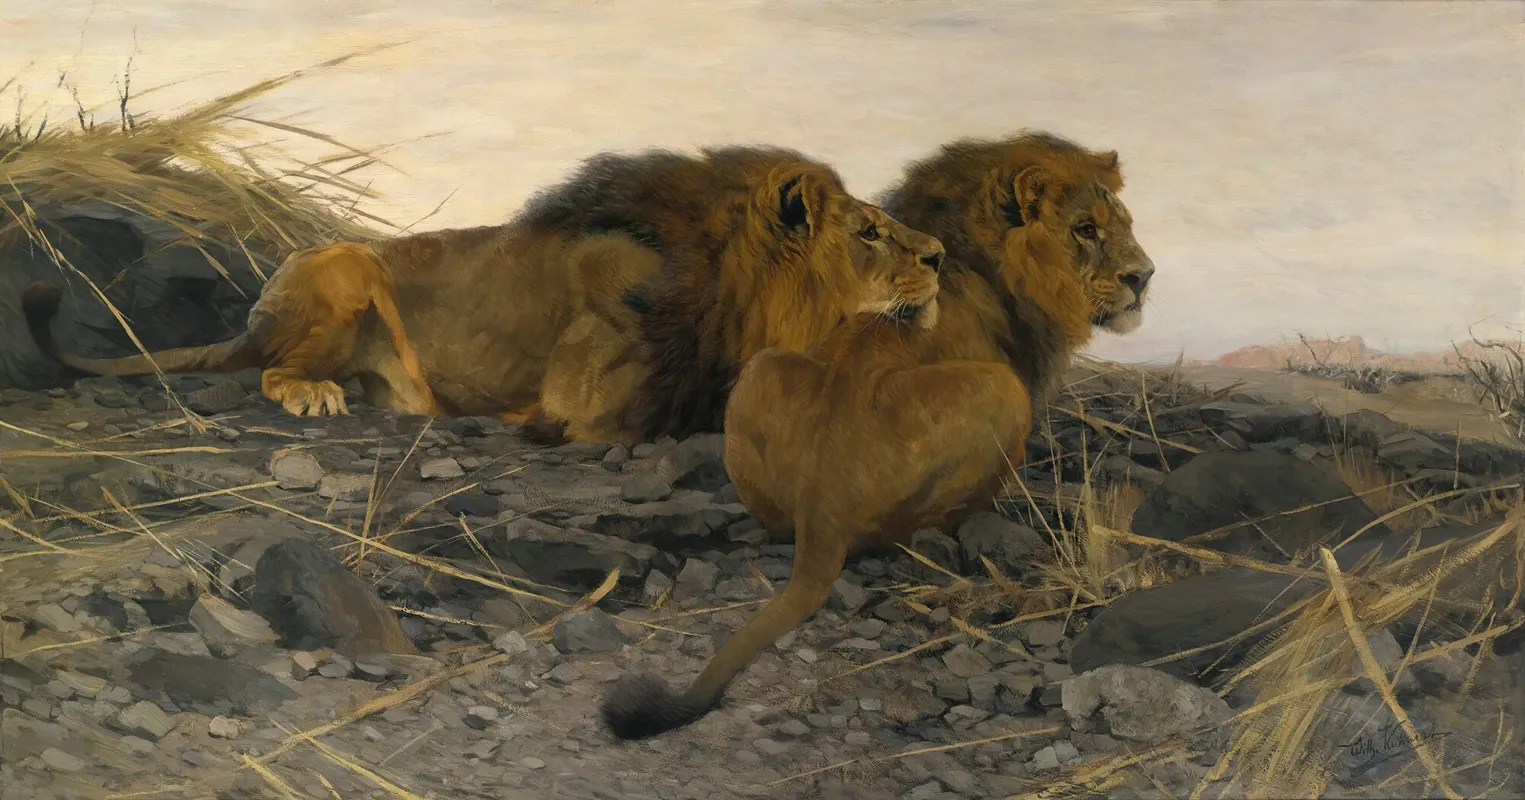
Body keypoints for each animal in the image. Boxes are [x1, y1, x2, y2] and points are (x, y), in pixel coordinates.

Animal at [23, 146, 945, 446]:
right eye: (869, 232)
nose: (940, 256)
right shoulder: (588, 401)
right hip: (345, 268)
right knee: (269, 369)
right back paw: (320, 393)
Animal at [599, 131, 1156, 739]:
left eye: (1125, 223)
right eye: (1086, 229)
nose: (1144, 277)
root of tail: (825, 493)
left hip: (763, 369)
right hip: (1001, 391)